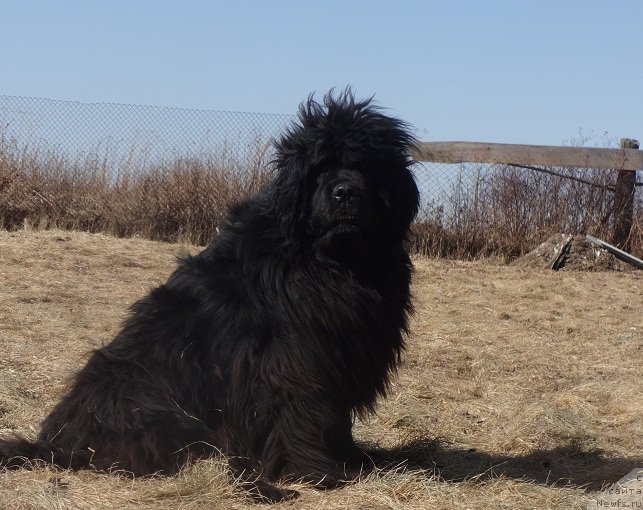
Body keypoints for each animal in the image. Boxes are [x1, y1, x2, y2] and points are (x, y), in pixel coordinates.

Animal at [0, 90, 420, 502]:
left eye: (367, 167)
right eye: (320, 169)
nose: (345, 191)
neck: (330, 259)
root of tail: (54, 445)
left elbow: (335, 418)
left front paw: (353, 458)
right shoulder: (295, 361)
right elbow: (303, 415)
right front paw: (319, 472)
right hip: (159, 405)